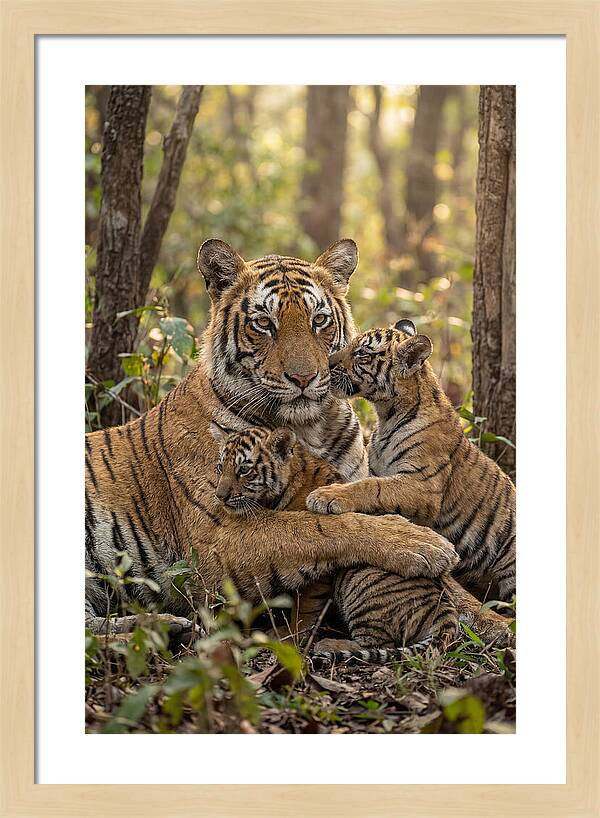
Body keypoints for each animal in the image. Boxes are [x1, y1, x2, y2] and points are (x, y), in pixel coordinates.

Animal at [85, 240, 459, 635]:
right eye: (264, 323)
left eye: (319, 320)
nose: (304, 377)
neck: (309, 428)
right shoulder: (218, 536)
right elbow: (315, 526)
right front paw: (421, 543)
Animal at [209, 422, 514, 660]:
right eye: (219, 467)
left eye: (244, 470)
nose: (220, 496)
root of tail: (444, 612)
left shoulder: (320, 567)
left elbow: (306, 606)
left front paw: (287, 634)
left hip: (360, 584)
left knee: (378, 643)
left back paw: (329, 644)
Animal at [306, 319, 516, 604]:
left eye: (362, 354)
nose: (326, 363)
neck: (386, 415)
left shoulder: (423, 484)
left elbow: (373, 487)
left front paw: (326, 496)